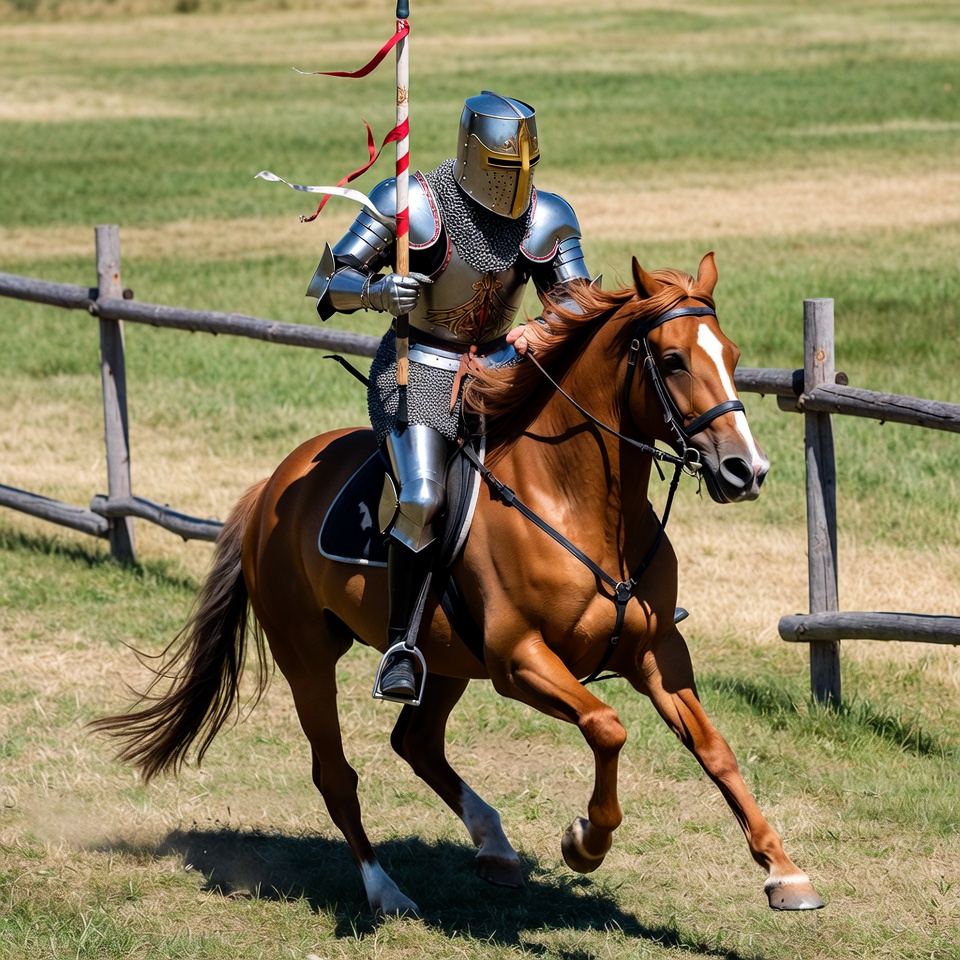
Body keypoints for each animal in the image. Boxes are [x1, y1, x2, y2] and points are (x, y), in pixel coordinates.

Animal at [92, 252, 824, 917]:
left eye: (732, 354)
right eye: (672, 361)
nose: (746, 470)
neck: (578, 505)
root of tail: (272, 486)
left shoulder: (656, 655)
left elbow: (715, 750)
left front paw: (785, 873)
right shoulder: (518, 661)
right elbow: (607, 726)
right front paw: (585, 841)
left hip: (442, 660)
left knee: (415, 743)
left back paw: (493, 846)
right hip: (308, 657)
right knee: (337, 774)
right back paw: (386, 891)